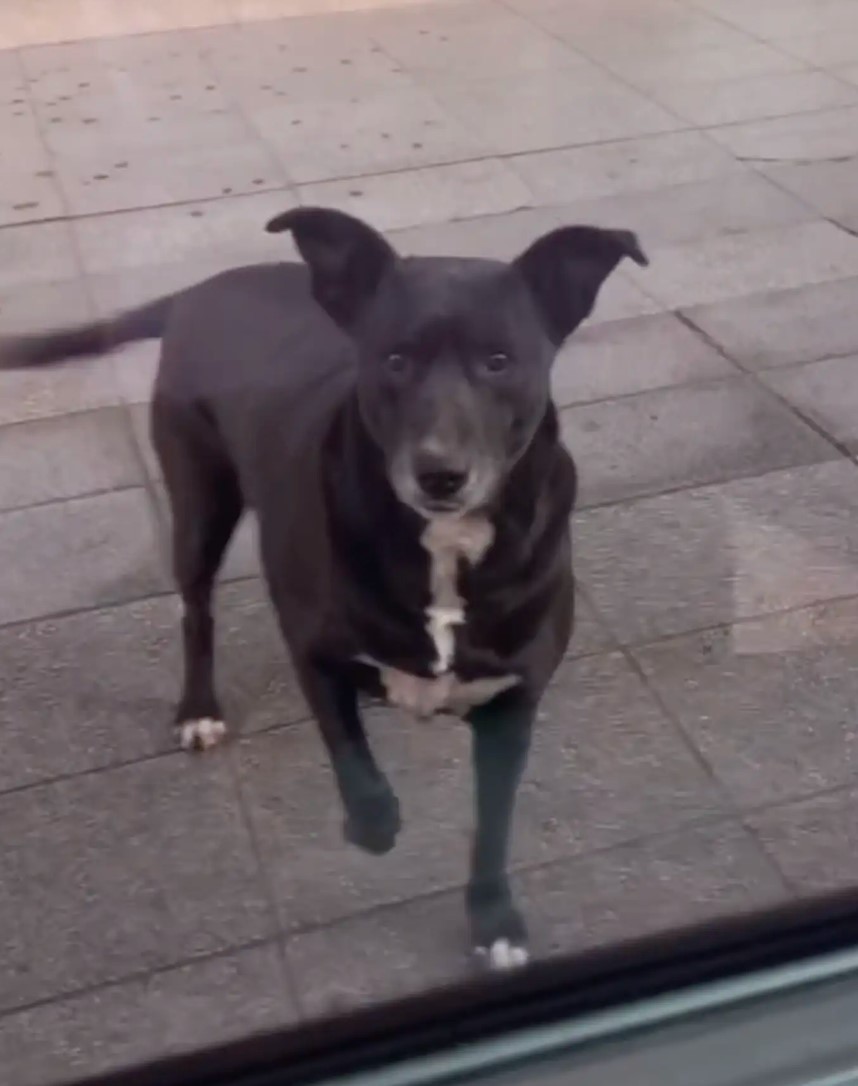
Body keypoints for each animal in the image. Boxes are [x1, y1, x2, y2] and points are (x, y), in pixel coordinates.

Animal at [0, 209, 642, 968]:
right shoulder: (316, 652)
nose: (439, 473)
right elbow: (352, 758)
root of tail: (200, 289)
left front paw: (495, 921)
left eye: (498, 361)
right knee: (195, 611)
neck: (443, 548)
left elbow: (493, 824)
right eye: (394, 360)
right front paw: (373, 823)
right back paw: (198, 709)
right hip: (200, 502)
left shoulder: (512, 704)